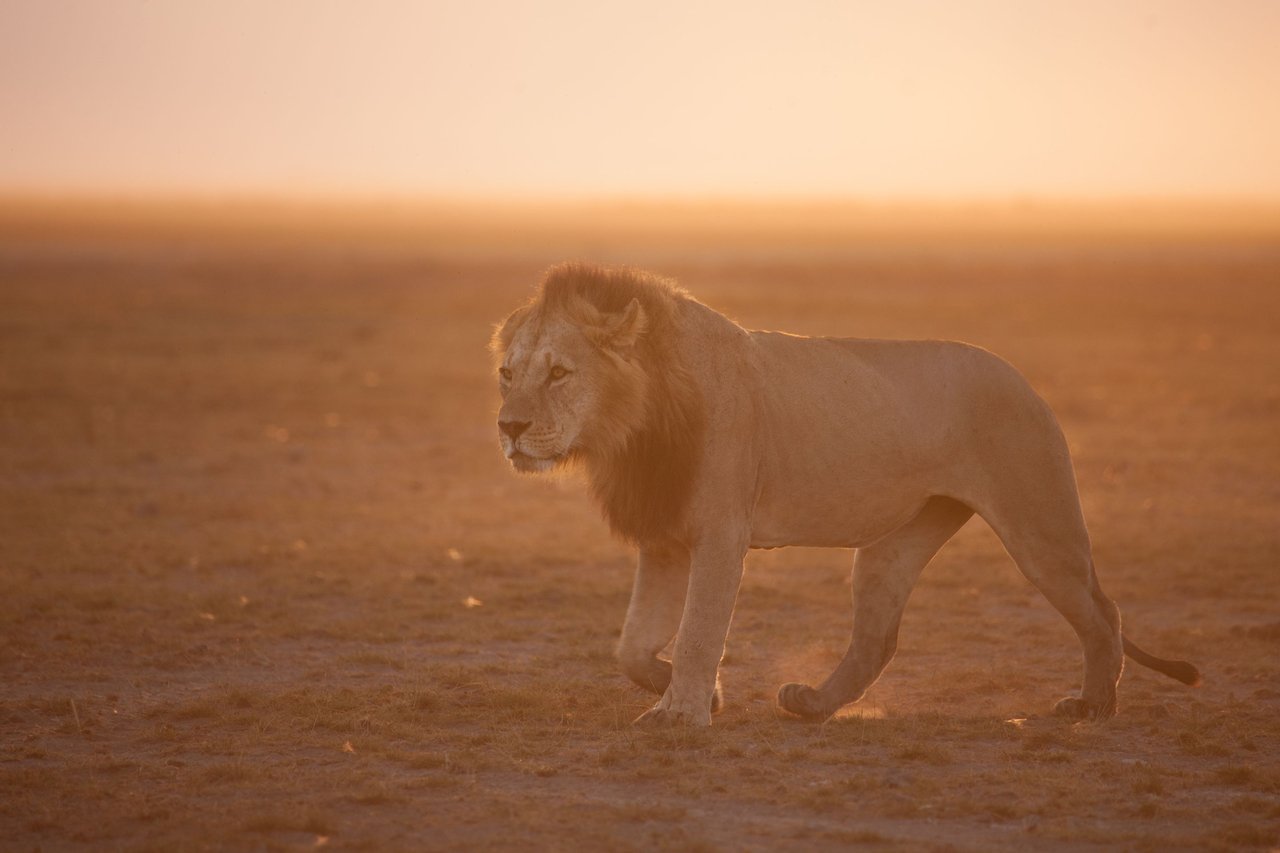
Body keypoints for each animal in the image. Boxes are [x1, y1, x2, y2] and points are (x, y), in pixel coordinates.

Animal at [488, 261, 1198, 722]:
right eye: (506, 374)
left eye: (559, 373)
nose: (509, 428)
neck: (632, 428)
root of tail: (1025, 380)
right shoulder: (664, 537)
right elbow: (632, 646)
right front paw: (699, 693)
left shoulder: (721, 532)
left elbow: (697, 631)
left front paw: (681, 713)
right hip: (895, 543)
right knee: (878, 639)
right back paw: (813, 704)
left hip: (1039, 526)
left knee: (1104, 612)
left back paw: (1094, 705)